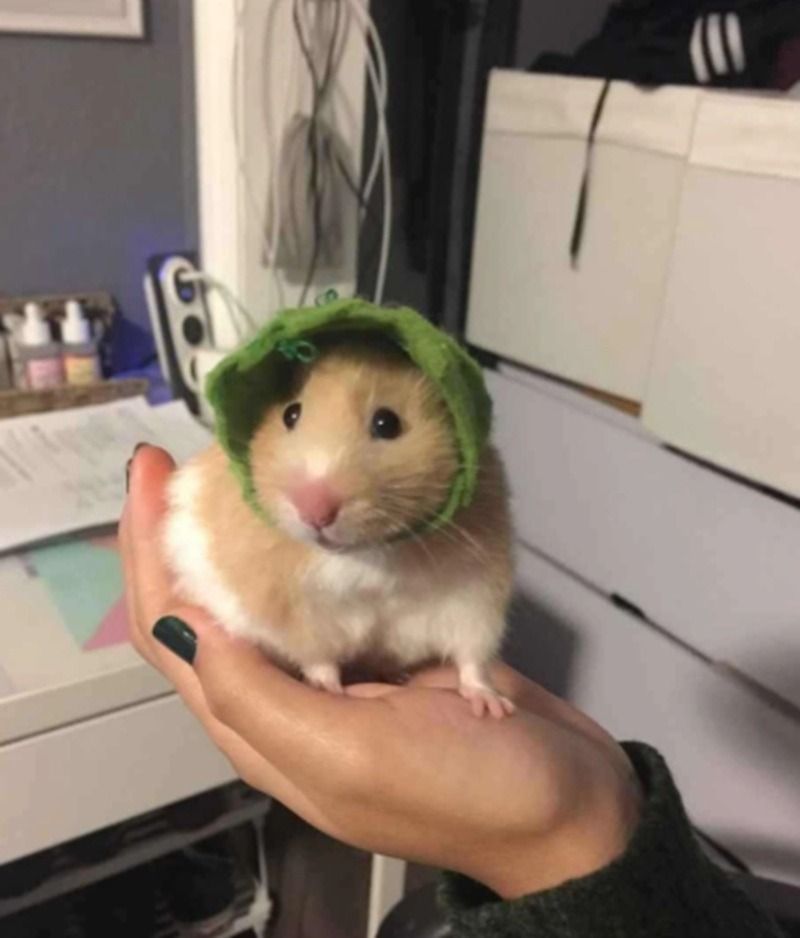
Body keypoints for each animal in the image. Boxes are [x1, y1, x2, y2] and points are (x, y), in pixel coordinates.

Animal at [163, 335, 515, 717]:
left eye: (387, 423)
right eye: (290, 414)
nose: (314, 511)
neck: (367, 555)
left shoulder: (475, 595)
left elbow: (472, 659)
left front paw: (492, 708)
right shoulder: (295, 611)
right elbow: (317, 656)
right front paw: (326, 689)